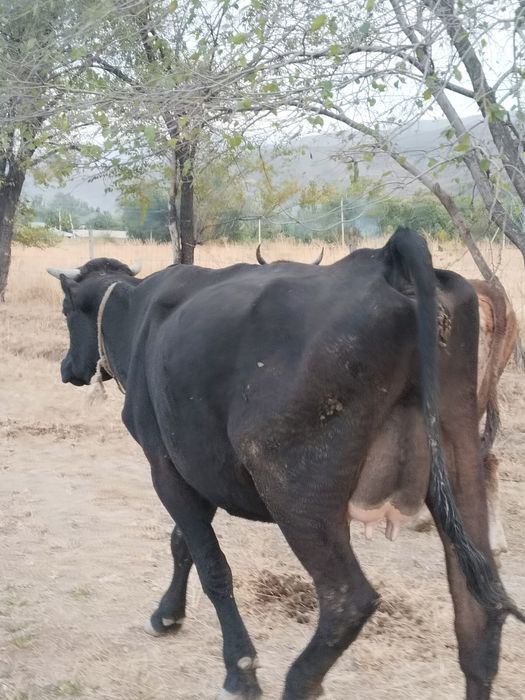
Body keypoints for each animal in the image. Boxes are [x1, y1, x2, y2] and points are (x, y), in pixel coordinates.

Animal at [48, 227, 523, 700]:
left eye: (67, 309)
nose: (67, 368)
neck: (138, 314)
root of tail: (387, 261)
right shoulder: (201, 469)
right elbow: (183, 544)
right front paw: (168, 613)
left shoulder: (165, 466)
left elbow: (211, 565)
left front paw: (240, 669)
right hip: (458, 460)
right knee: (478, 614)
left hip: (295, 490)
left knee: (347, 601)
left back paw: (299, 681)